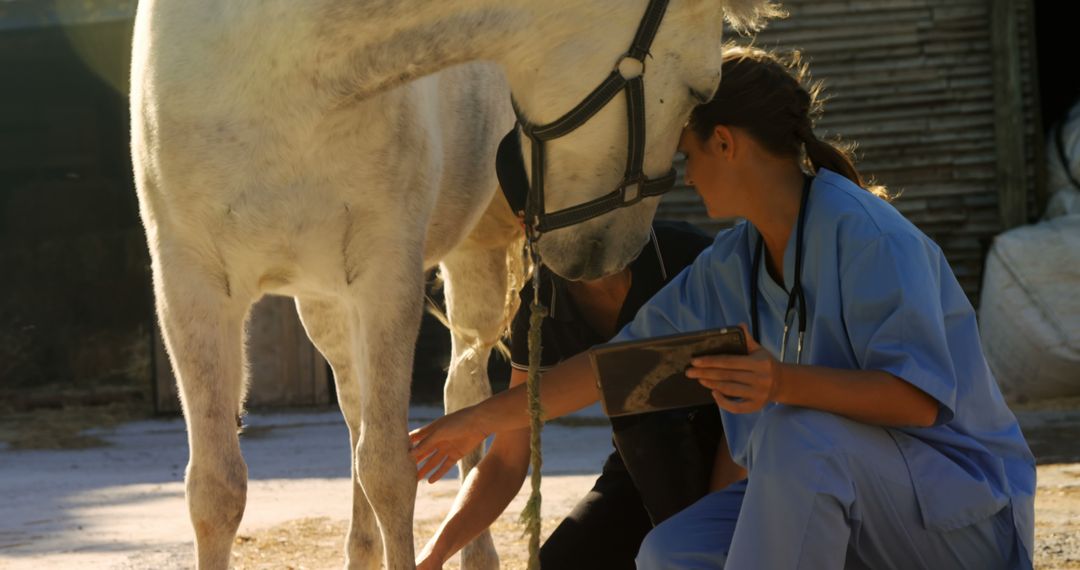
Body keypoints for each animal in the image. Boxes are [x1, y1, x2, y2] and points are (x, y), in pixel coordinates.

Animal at [130, 0, 773, 565]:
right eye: (699, 91)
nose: (613, 250)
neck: (280, 69)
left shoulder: (387, 278)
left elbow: (390, 471)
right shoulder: (189, 288)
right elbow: (215, 489)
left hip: (469, 264)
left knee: (463, 394)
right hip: (324, 303)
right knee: (358, 410)